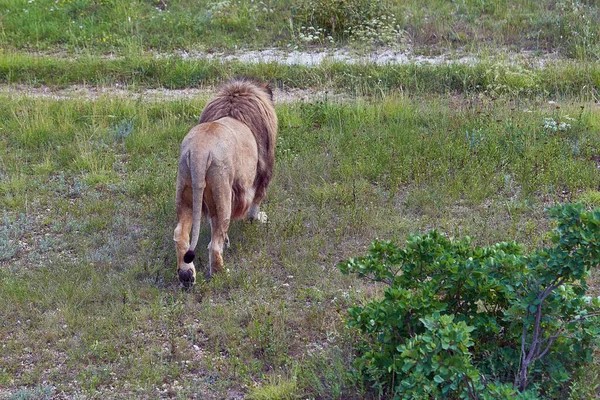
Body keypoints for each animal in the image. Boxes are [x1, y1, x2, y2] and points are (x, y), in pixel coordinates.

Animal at [172, 78, 278, 286]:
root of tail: (199, 151)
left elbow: (213, 224)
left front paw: (227, 240)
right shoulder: (263, 172)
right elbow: (256, 204)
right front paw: (258, 218)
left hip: (187, 191)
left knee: (181, 234)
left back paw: (187, 276)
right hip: (223, 194)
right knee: (213, 245)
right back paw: (221, 273)